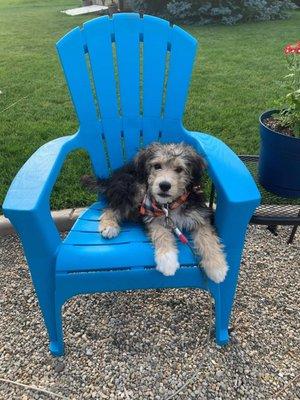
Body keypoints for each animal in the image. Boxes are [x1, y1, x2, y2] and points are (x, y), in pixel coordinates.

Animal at [82, 142, 227, 282]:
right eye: (157, 166)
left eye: (179, 169)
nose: (164, 185)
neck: (169, 205)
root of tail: (111, 179)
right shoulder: (151, 217)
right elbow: (161, 233)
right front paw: (167, 260)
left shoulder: (200, 216)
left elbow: (207, 238)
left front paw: (216, 266)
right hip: (133, 188)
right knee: (112, 208)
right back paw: (109, 226)